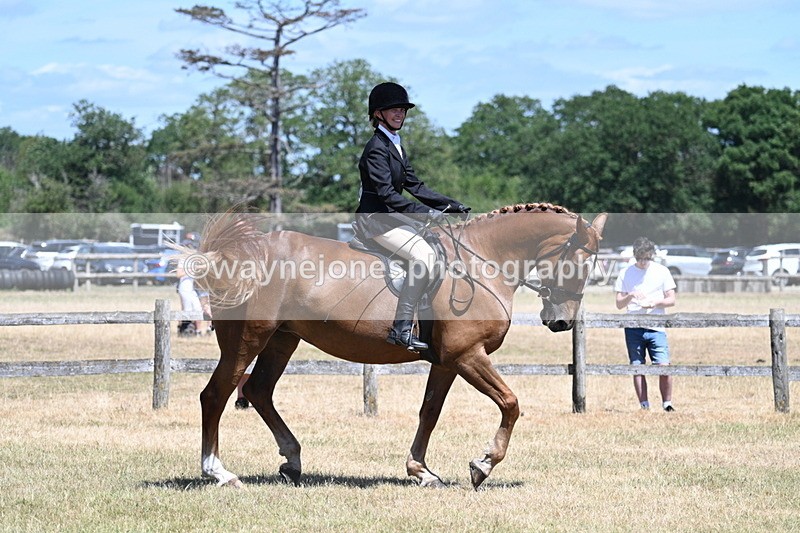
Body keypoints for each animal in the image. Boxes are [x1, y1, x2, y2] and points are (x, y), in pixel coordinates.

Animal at [191, 203, 607, 489]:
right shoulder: (468, 355)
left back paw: (292, 461)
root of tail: (235, 254)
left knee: (259, 390)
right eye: (577, 264)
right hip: (247, 339)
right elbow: (510, 403)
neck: (483, 262)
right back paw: (219, 472)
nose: (561, 322)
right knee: (216, 394)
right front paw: (483, 464)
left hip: (282, 339)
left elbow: (430, 412)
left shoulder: (447, 362)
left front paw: (421, 471)